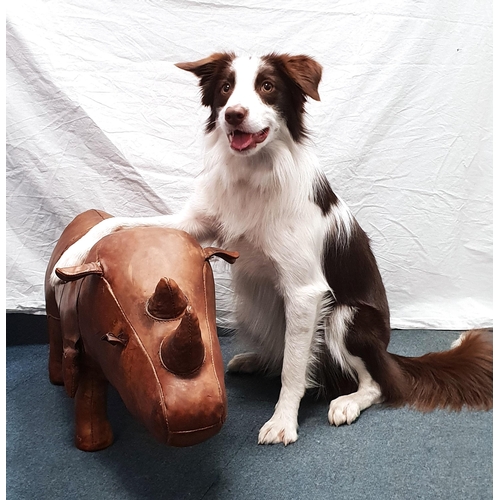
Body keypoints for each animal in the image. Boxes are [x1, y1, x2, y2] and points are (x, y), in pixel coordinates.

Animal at [45, 209, 238, 452]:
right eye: (112, 341)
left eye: (211, 329)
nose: (196, 422)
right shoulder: (87, 350)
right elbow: (89, 392)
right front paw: (93, 445)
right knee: (53, 319)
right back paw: (57, 380)